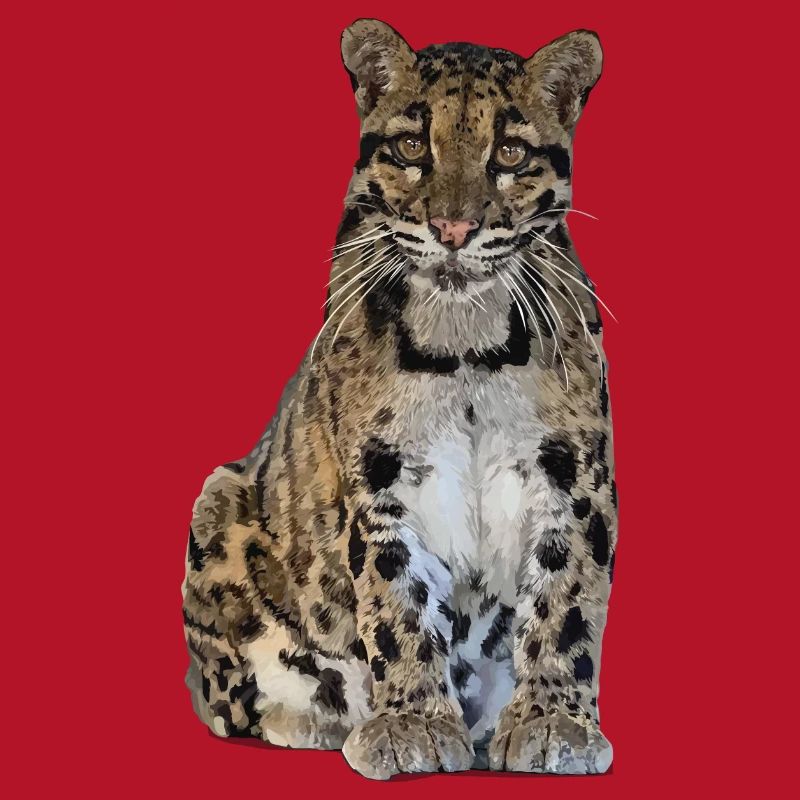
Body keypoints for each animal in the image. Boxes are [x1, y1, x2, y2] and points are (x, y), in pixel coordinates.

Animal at [182, 18, 617, 779]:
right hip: (218, 503)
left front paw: (552, 721)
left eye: (509, 152)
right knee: (229, 700)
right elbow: (397, 601)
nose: (453, 230)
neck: (466, 343)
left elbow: (566, 601)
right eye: (414, 145)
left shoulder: (574, 476)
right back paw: (320, 719)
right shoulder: (379, 479)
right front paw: (412, 722)